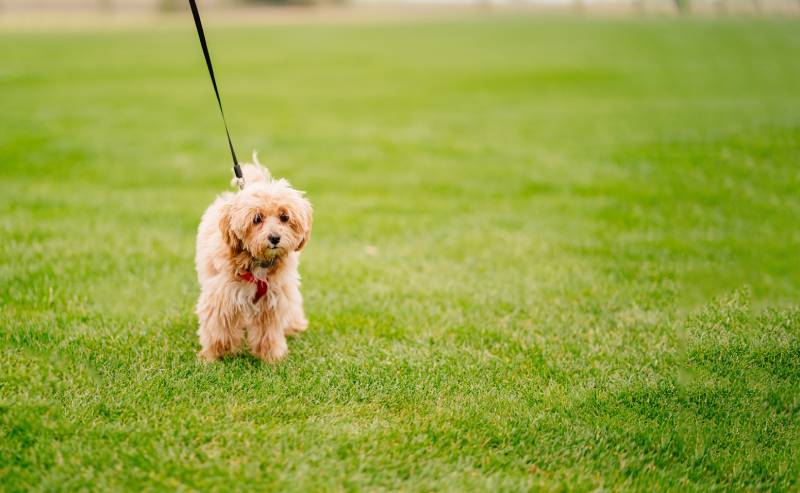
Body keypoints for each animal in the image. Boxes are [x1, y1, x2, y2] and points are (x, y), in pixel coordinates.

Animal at [195, 158, 314, 362]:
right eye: (257, 219)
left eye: (284, 217)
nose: (274, 238)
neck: (258, 262)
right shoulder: (222, 294)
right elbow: (219, 328)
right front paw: (216, 356)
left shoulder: (272, 299)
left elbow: (268, 331)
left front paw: (271, 357)